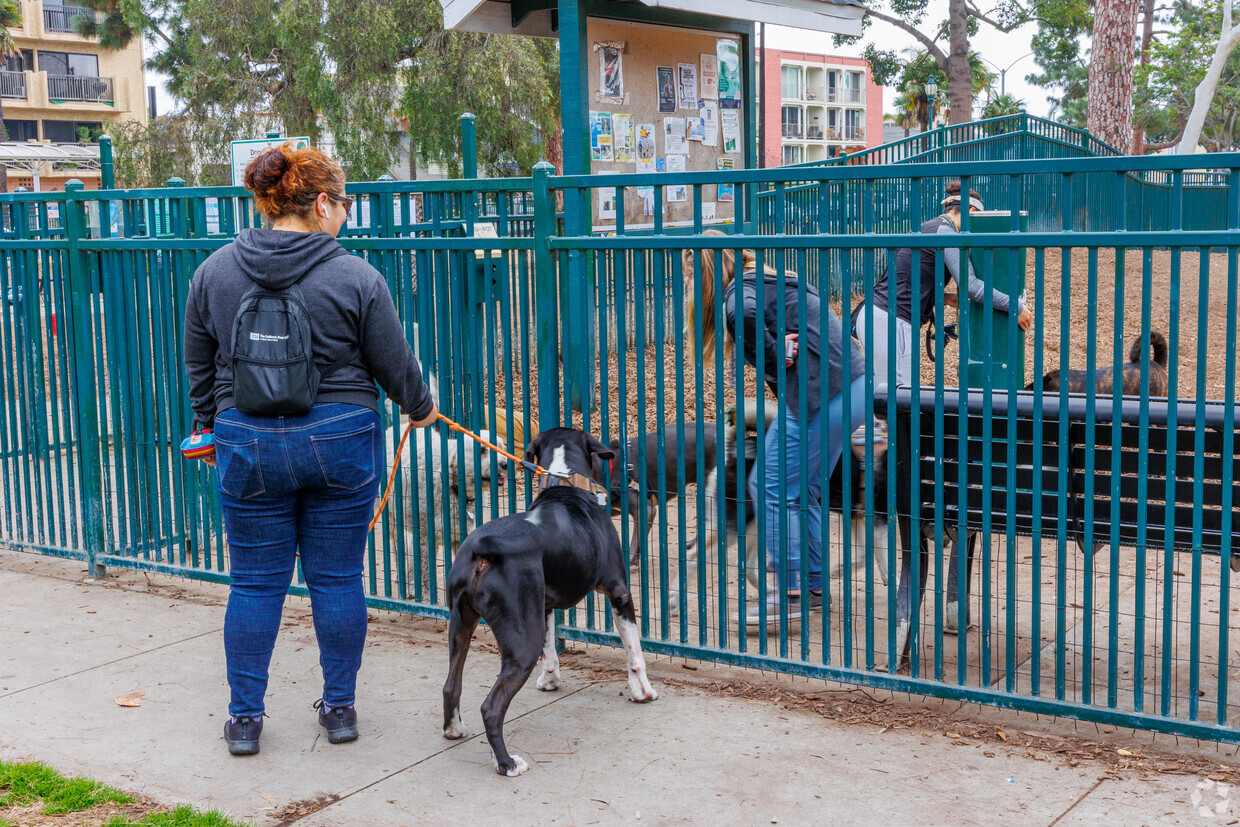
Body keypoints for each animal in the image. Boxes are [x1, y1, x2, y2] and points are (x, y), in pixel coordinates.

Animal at [443, 426, 659, 778]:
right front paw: (642, 691)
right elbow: (634, 652)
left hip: (462, 626)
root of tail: (482, 549)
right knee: (491, 707)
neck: (564, 484)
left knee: (452, 685)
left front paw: (550, 680)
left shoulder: (542, 608)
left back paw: (454, 729)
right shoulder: (619, 592)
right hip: (521, 644)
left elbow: (551, 650)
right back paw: (506, 763)